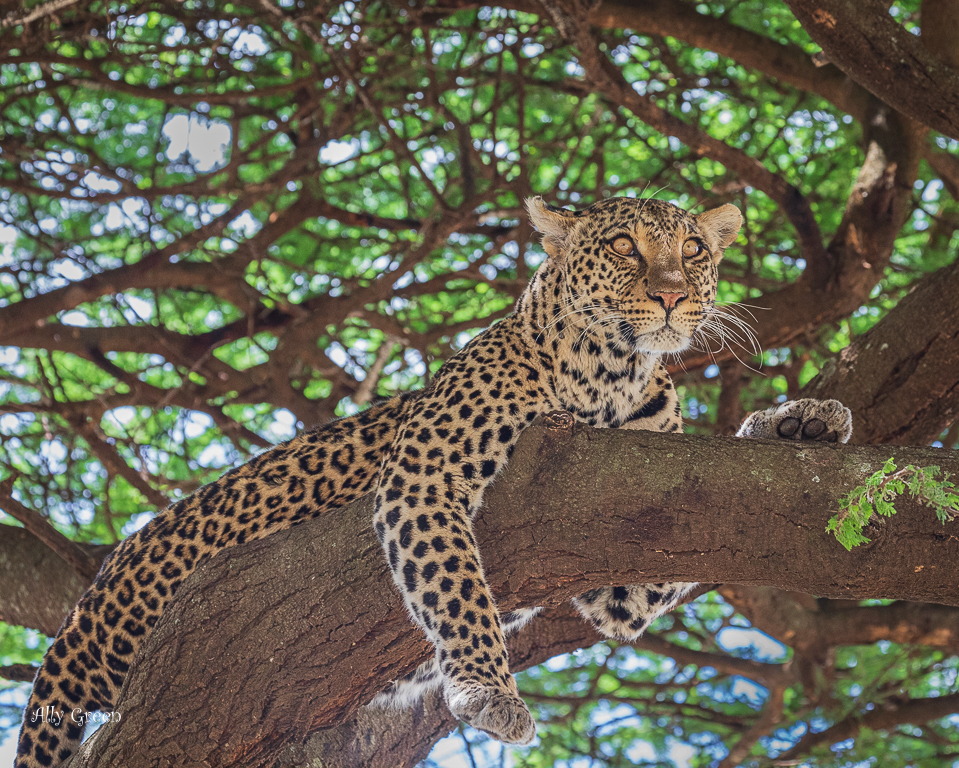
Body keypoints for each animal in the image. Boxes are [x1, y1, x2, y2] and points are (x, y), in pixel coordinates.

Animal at [16, 195, 856, 764]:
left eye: (692, 248)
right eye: (624, 246)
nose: (674, 294)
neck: (613, 374)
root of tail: (92, 597)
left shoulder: (622, 569)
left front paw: (799, 421)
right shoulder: (427, 473)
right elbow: (455, 588)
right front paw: (488, 690)